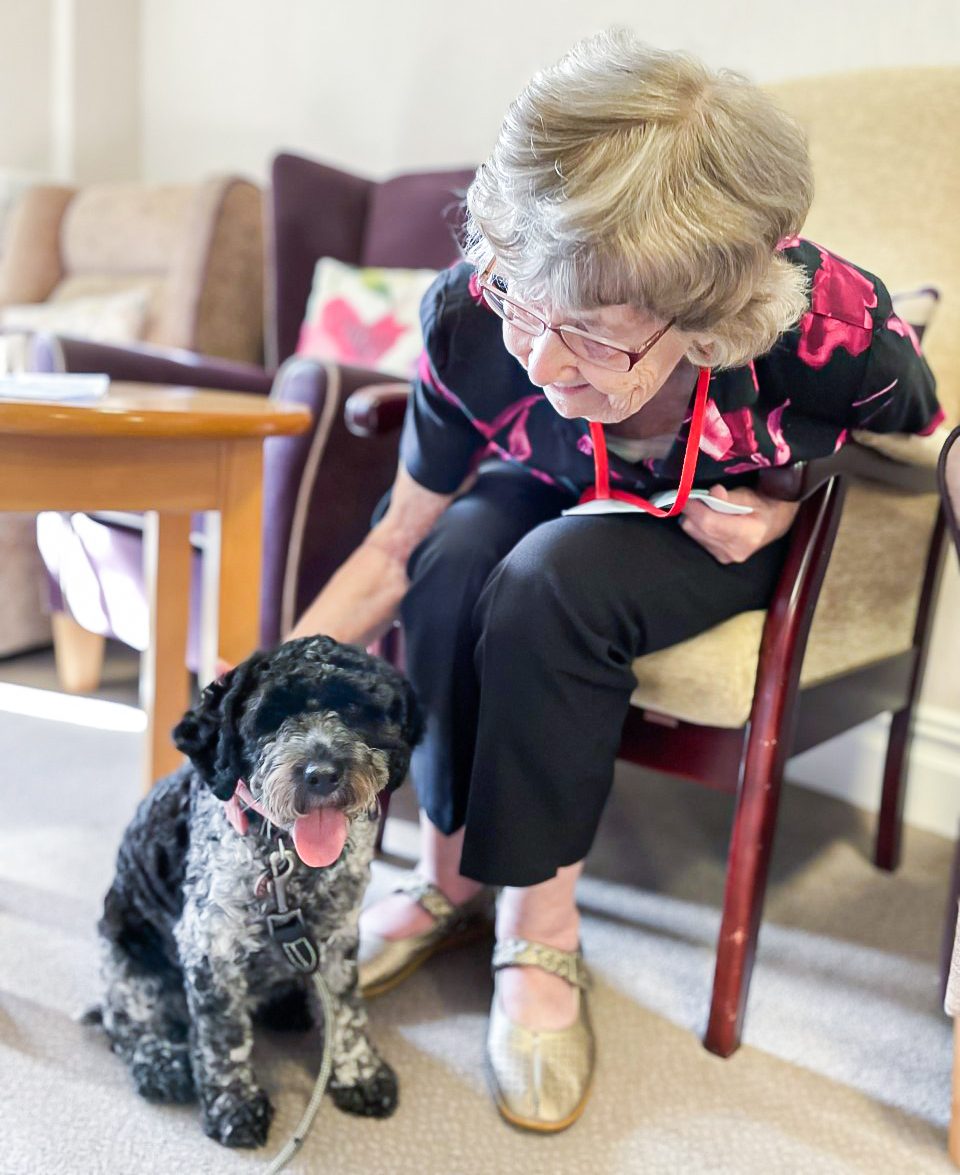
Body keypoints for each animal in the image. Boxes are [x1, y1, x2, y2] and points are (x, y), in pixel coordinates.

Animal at [86, 639, 423, 1142]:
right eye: (269, 717)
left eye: (353, 709)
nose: (322, 773)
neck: (287, 857)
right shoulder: (211, 948)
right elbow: (223, 1037)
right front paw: (236, 1106)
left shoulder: (338, 937)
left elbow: (346, 1012)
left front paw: (359, 1073)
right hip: (123, 955)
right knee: (126, 1024)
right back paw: (161, 1063)